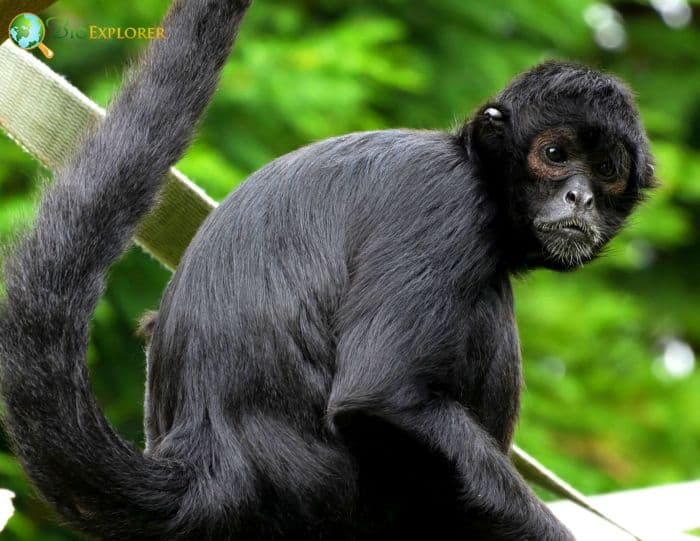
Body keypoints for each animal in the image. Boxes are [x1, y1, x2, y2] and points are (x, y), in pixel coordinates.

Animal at [0, 0, 656, 538]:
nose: (580, 198)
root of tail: (212, 465)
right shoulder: (446, 206)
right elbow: (382, 400)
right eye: (555, 154)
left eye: (606, 170)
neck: (469, 162)